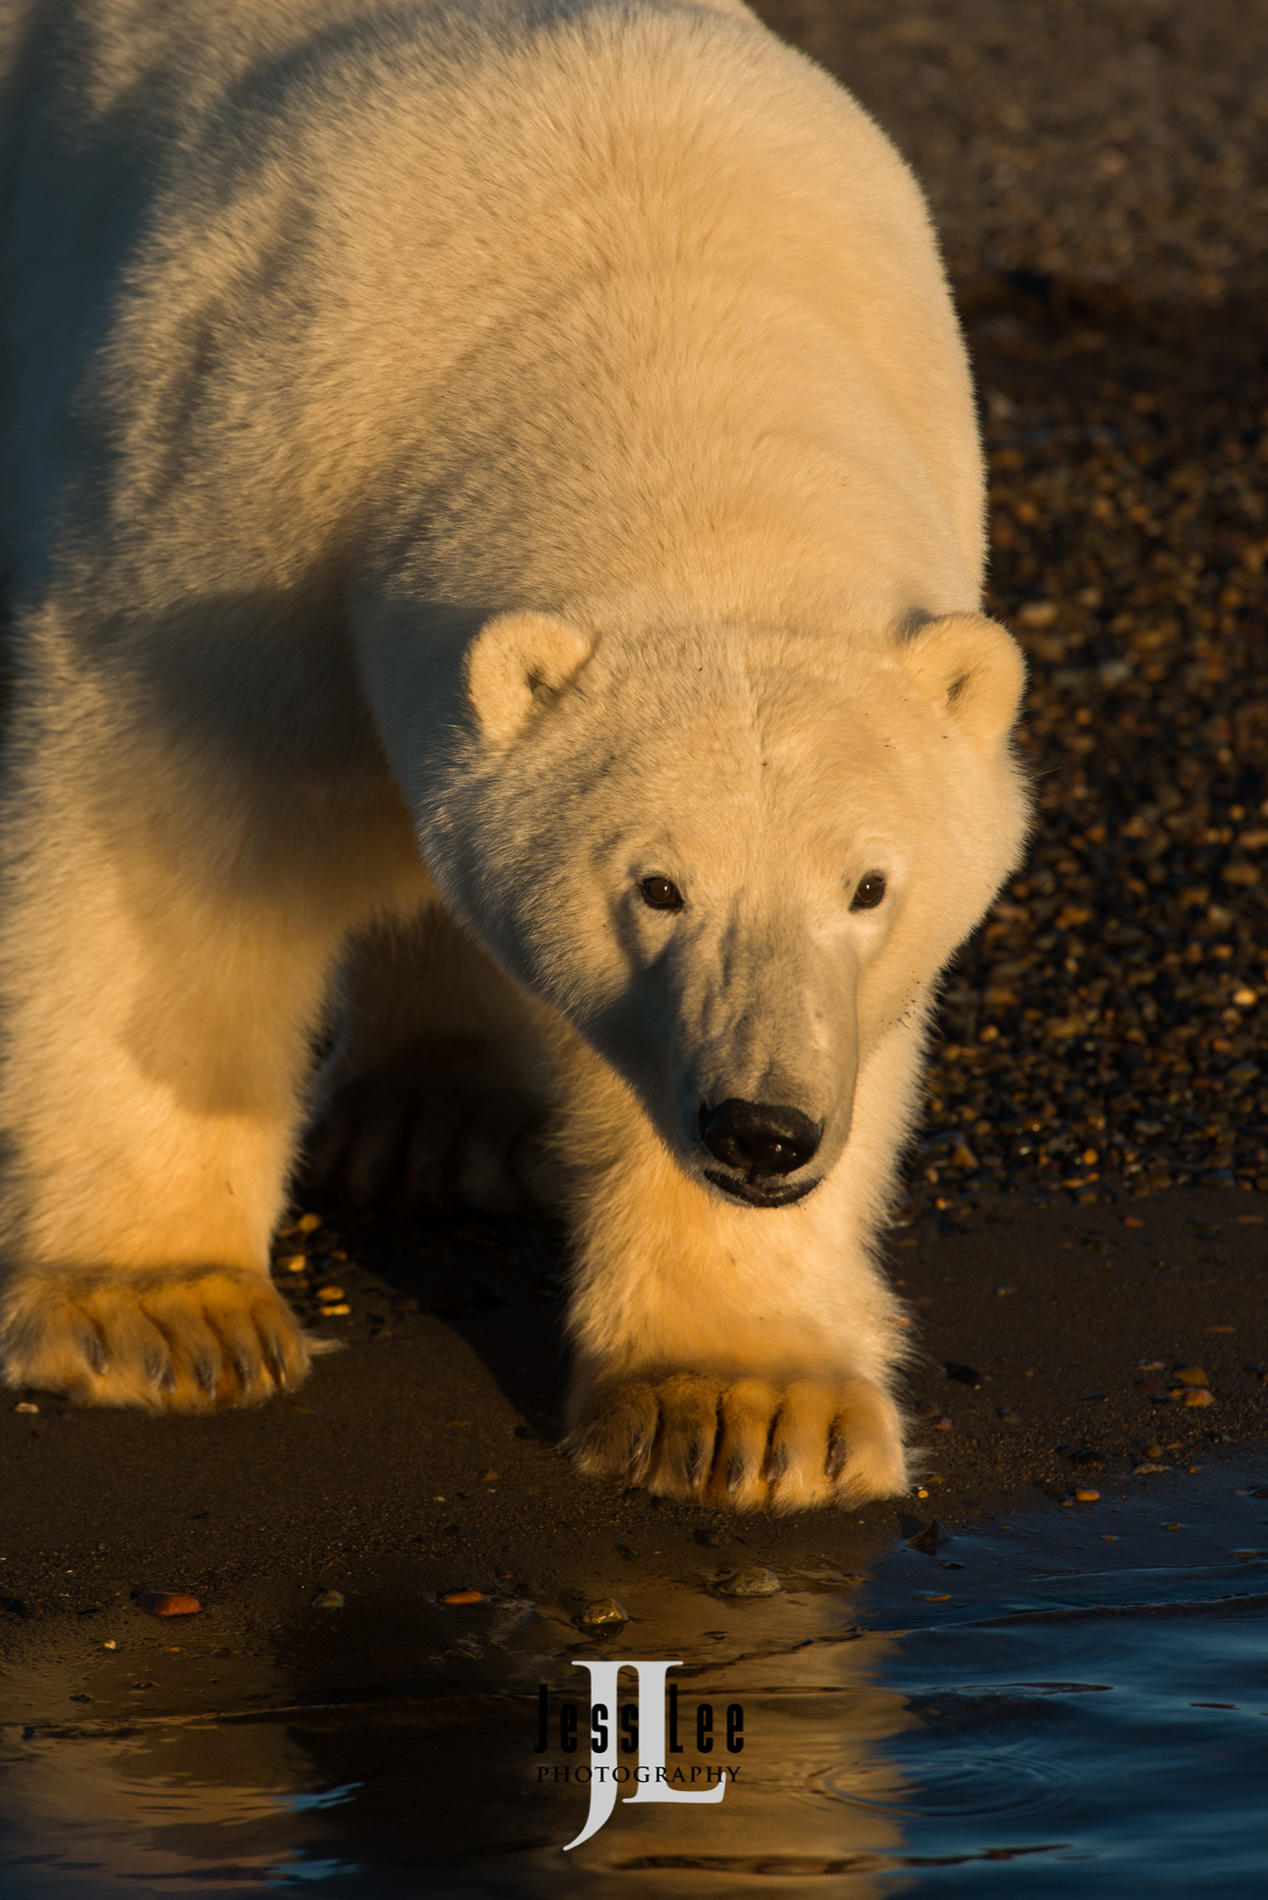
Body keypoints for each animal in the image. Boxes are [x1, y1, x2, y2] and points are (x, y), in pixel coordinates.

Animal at [0, 0, 1034, 1512]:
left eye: (868, 887)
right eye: (656, 886)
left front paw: (744, 1404)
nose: (761, 1132)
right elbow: (168, 857)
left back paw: (441, 1116)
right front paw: (158, 1312)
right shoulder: (259, 481)